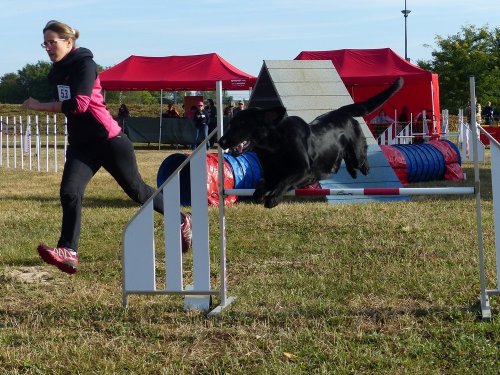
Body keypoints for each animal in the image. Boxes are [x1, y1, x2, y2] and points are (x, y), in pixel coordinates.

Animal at [218, 78, 402, 210]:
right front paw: (258, 194)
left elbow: (284, 181)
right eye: (230, 123)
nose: (221, 141)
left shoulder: (304, 171)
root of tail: (341, 110)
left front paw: (272, 198)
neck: (275, 146)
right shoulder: (271, 174)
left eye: (242, 124)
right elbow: (263, 181)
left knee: (361, 156)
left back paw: (364, 168)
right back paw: (352, 172)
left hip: (356, 150)